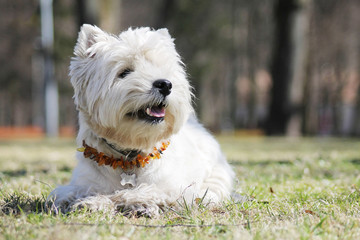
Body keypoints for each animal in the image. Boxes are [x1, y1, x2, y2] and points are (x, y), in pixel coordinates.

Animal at [49, 23, 235, 216]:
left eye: (161, 70)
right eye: (124, 72)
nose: (165, 84)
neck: (130, 153)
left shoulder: (175, 186)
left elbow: (148, 190)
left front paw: (133, 201)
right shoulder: (82, 182)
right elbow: (83, 191)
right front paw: (92, 202)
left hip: (217, 173)